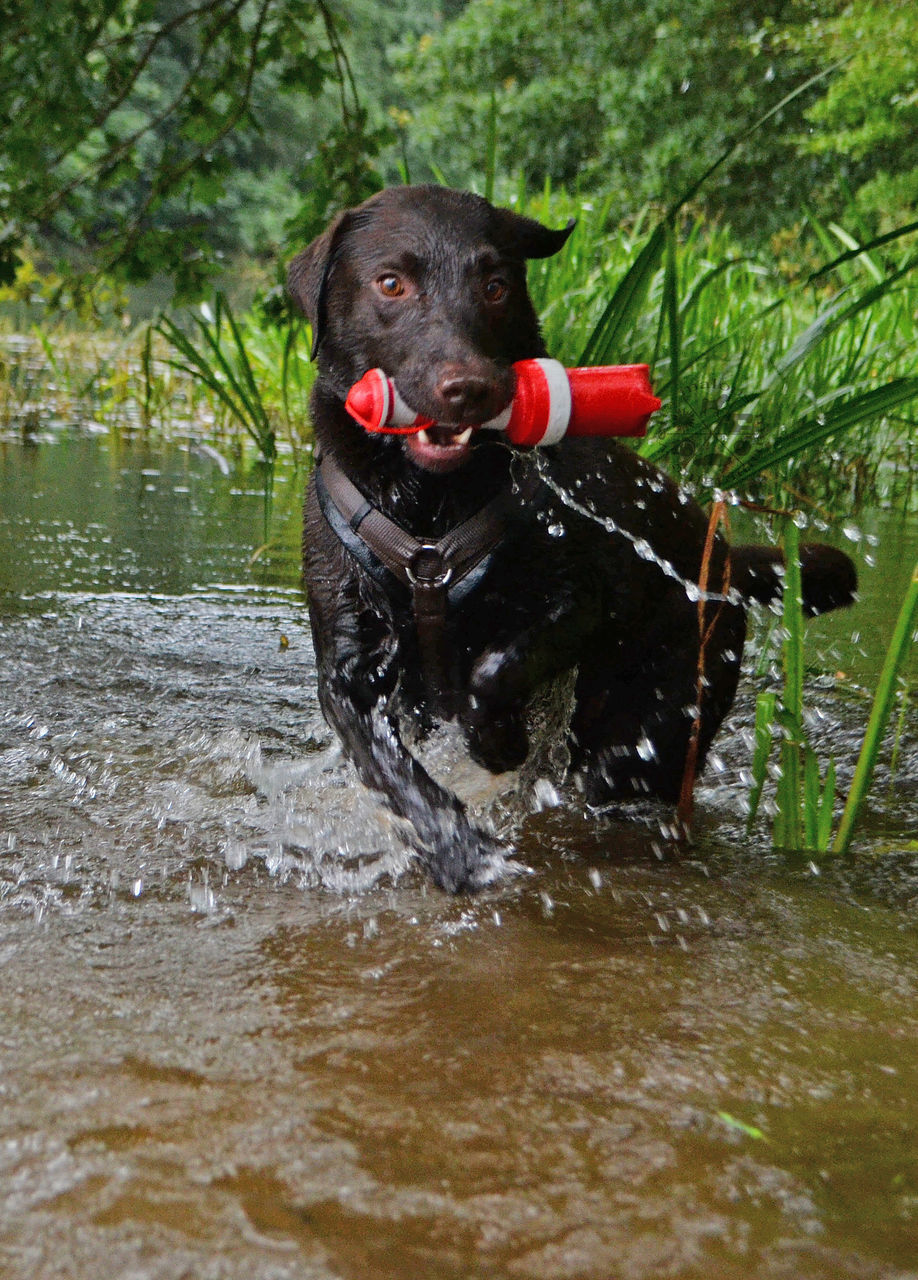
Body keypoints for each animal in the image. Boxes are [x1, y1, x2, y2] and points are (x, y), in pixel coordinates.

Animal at [288, 186, 860, 890]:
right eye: (391, 283)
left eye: (496, 286)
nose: (470, 388)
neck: (430, 515)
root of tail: (723, 557)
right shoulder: (349, 670)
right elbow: (395, 775)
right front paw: (460, 854)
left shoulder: (583, 595)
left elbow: (492, 672)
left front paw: (498, 743)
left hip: (655, 721)